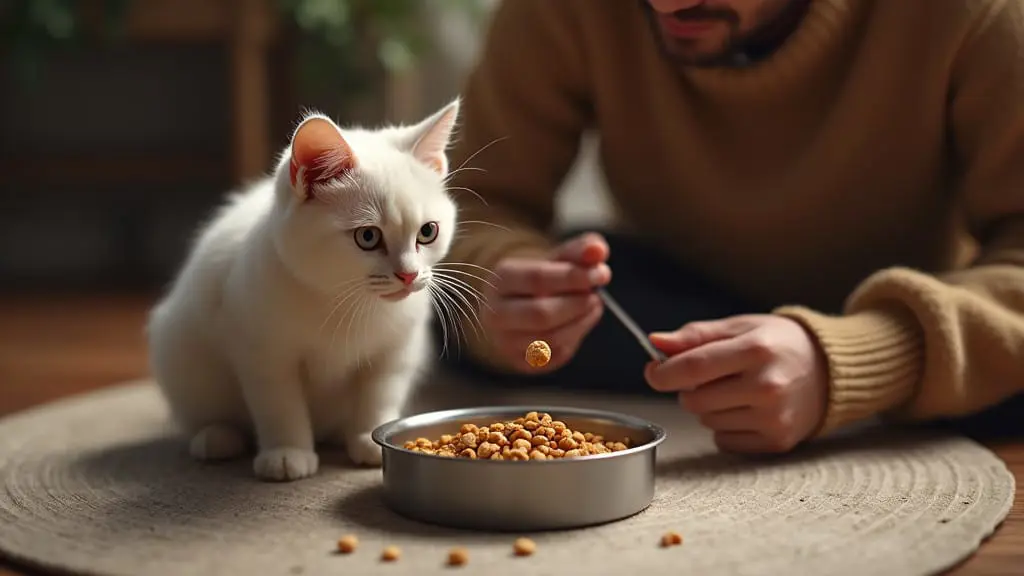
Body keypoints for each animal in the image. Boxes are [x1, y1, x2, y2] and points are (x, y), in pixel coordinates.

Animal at [146, 98, 462, 479]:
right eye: (367, 237)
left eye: (428, 232)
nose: (409, 275)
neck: (344, 301)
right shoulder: (263, 351)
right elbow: (279, 405)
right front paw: (287, 452)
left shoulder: (396, 348)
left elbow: (379, 393)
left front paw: (369, 436)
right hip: (180, 352)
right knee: (202, 413)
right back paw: (216, 436)